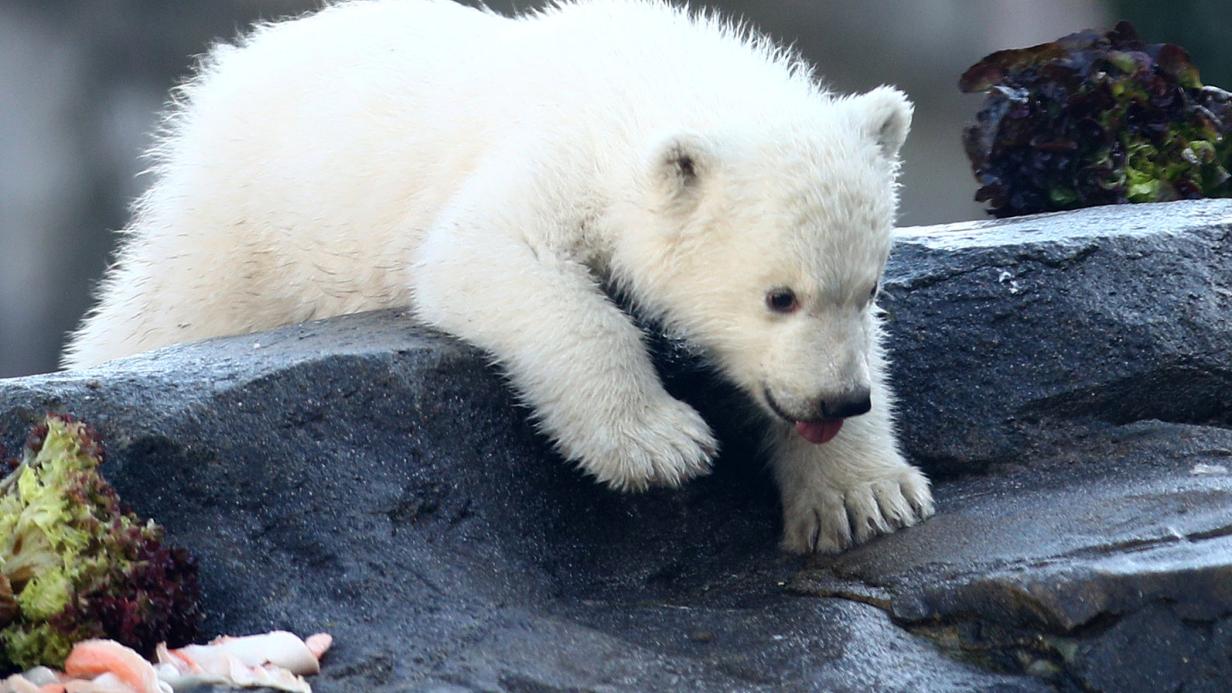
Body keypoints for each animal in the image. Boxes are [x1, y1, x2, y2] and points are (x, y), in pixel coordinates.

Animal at [64, 0, 931, 549]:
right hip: (241, 230)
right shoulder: (553, 156)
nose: (837, 399)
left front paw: (866, 495)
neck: (641, 72)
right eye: (779, 296)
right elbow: (493, 256)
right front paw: (660, 444)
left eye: (868, 286)